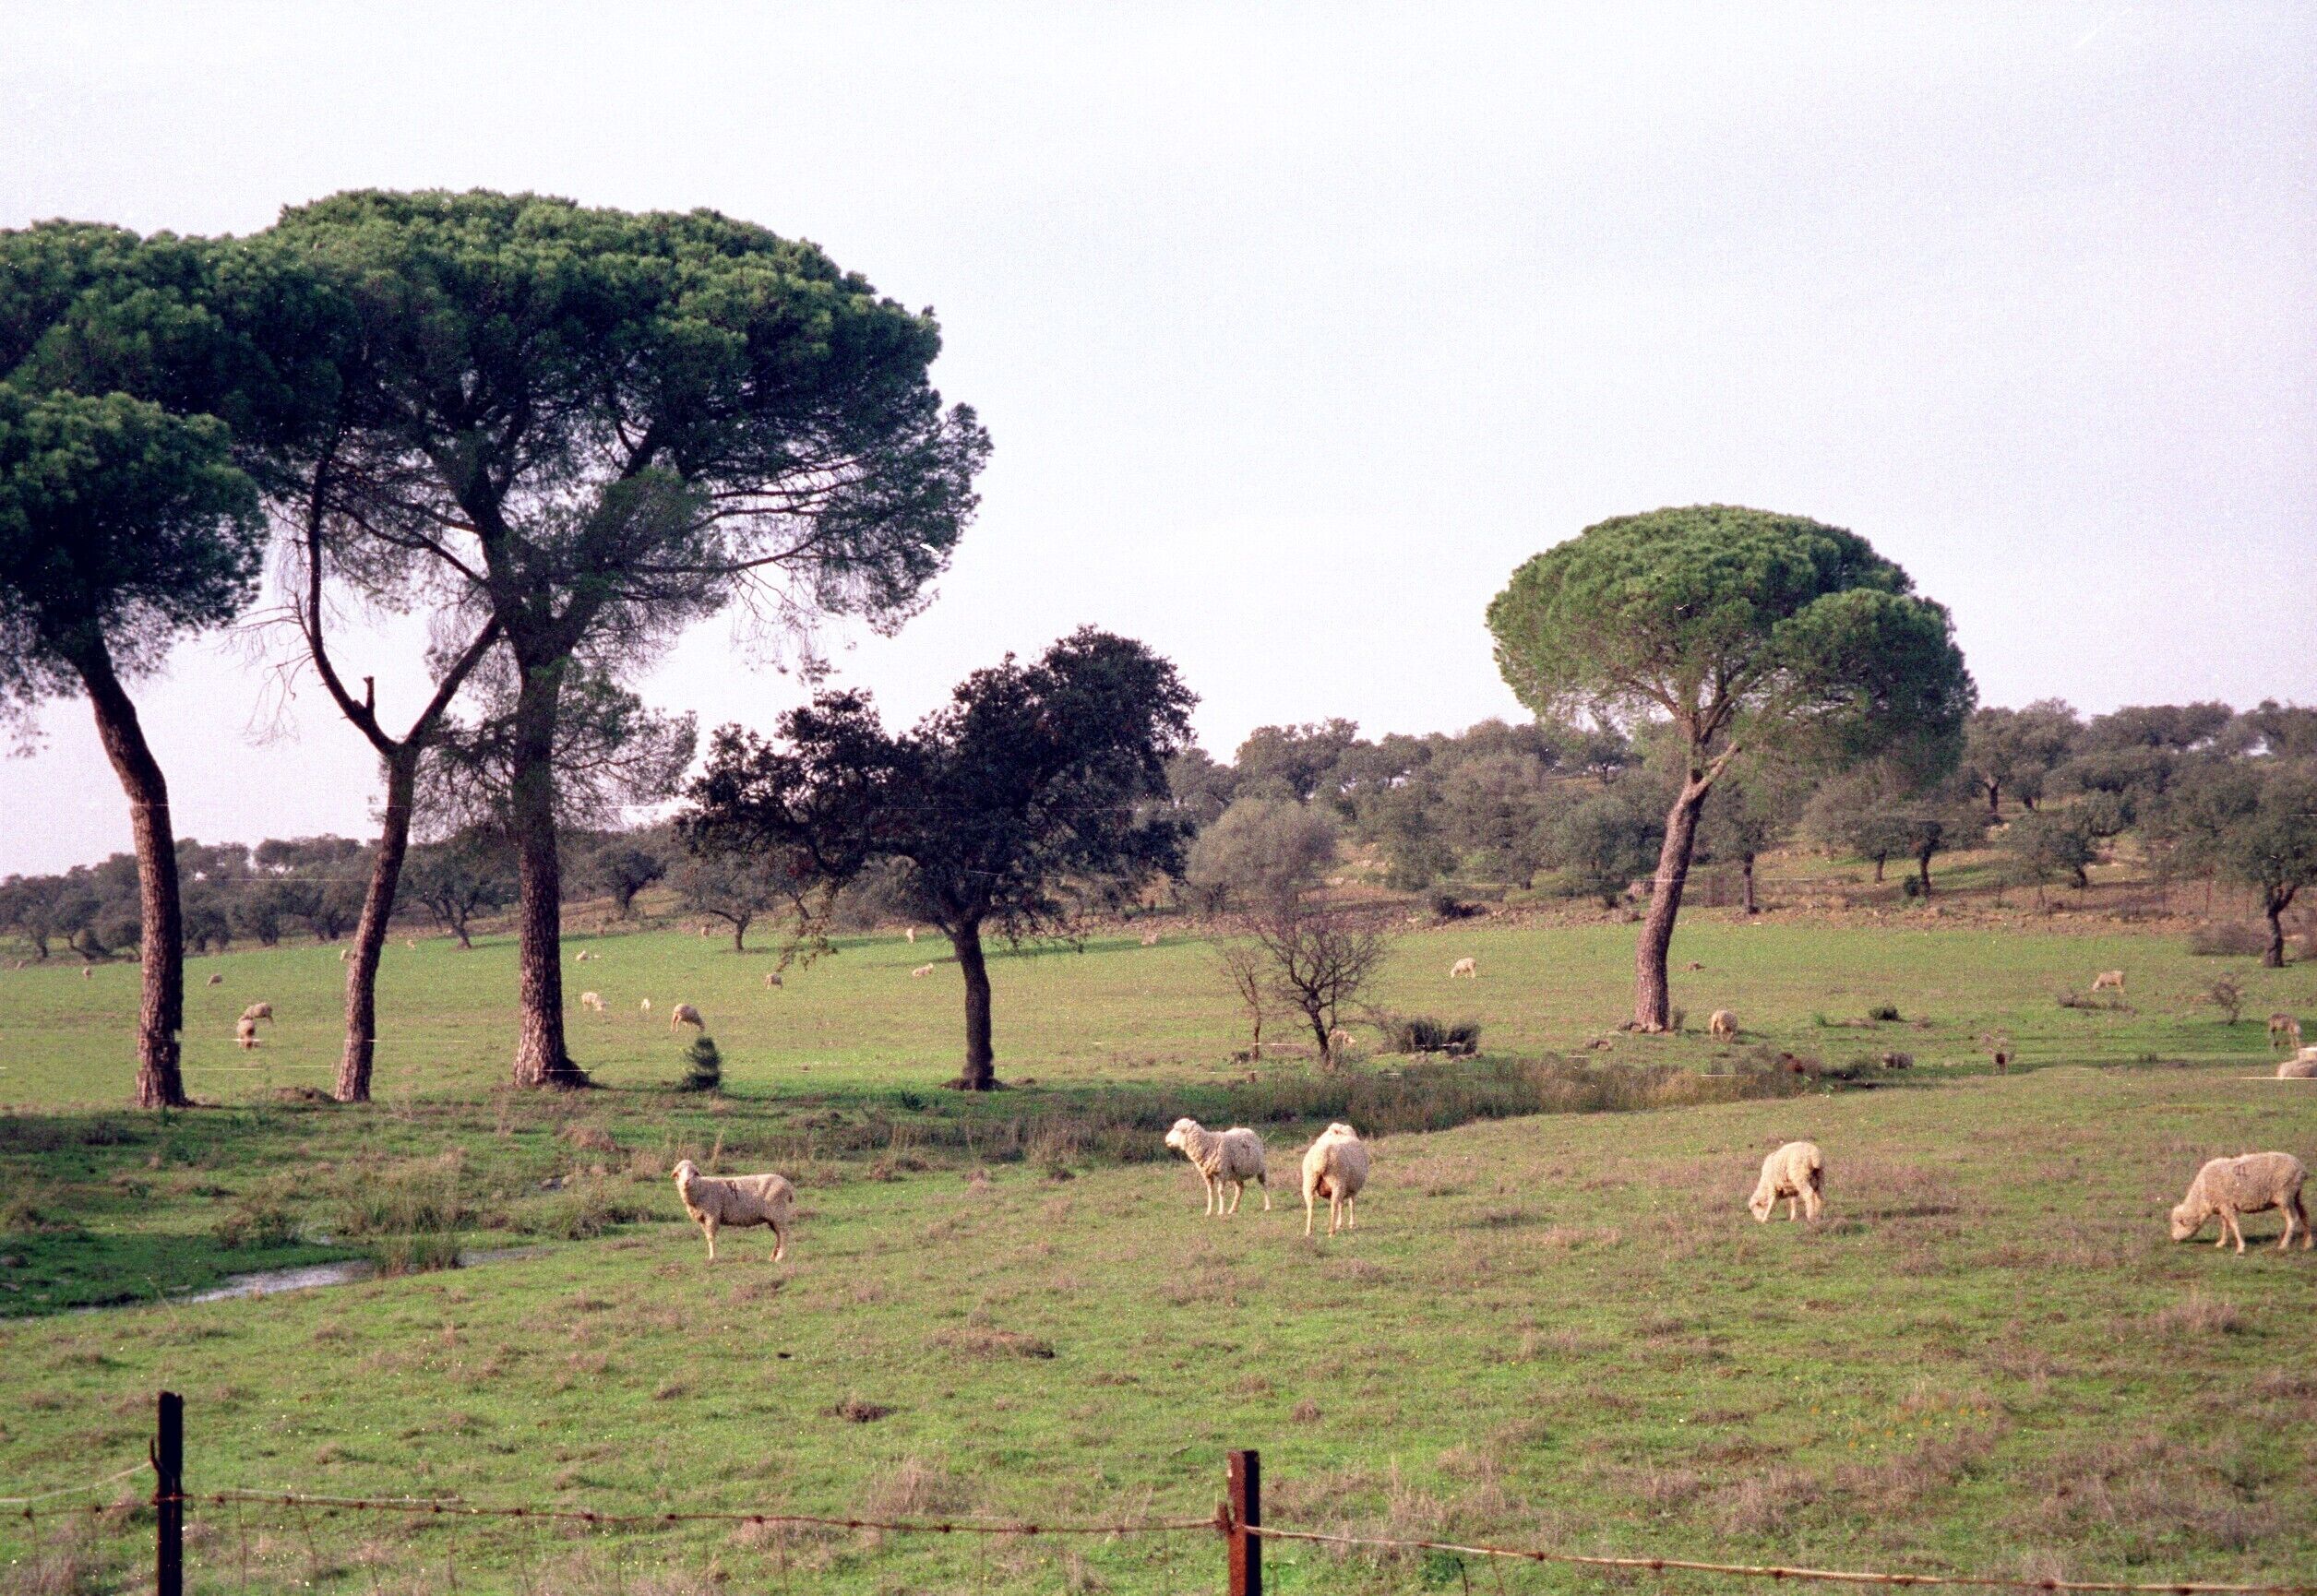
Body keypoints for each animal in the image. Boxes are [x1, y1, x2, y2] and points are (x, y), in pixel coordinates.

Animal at [672, 1158, 795, 1262]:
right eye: (679, 1172)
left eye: (694, 1172)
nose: (687, 1181)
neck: (700, 1189)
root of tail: (789, 1186)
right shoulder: (702, 1218)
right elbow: (707, 1237)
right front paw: (712, 1256)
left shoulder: (712, 1215)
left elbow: (711, 1237)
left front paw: (713, 1257)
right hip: (773, 1217)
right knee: (779, 1235)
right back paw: (773, 1256)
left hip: (778, 1212)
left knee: (784, 1234)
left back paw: (780, 1257)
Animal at [2170, 1152, 2309, 1254]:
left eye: (2180, 1223)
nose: (2174, 1239)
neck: (2202, 1195)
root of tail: (2301, 1168)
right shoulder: (2223, 1206)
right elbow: (2225, 1225)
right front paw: (2222, 1243)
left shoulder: (2226, 1205)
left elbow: (2234, 1225)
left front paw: (2241, 1248)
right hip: (2295, 1195)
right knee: (2304, 1215)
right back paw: (2308, 1244)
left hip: (2285, 1196)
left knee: (2292, 1219)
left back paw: (2284, 1245)